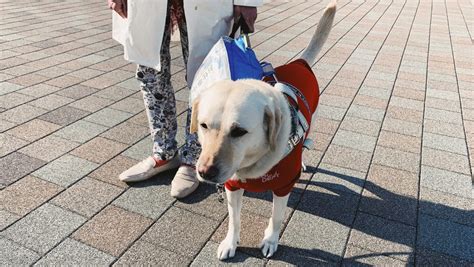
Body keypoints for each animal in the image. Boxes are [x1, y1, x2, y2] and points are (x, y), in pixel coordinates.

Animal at [189, 1, 336, 262]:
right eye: (204, 126)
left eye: (239, 131)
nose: (205, 172)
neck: (252, 166)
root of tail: (300, 63)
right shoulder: (232, 186)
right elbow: (234, 219)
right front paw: (230, 243)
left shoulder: (283, 186)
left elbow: (277, 217)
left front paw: (270, 240)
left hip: (314, 118)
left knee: (307, 141)